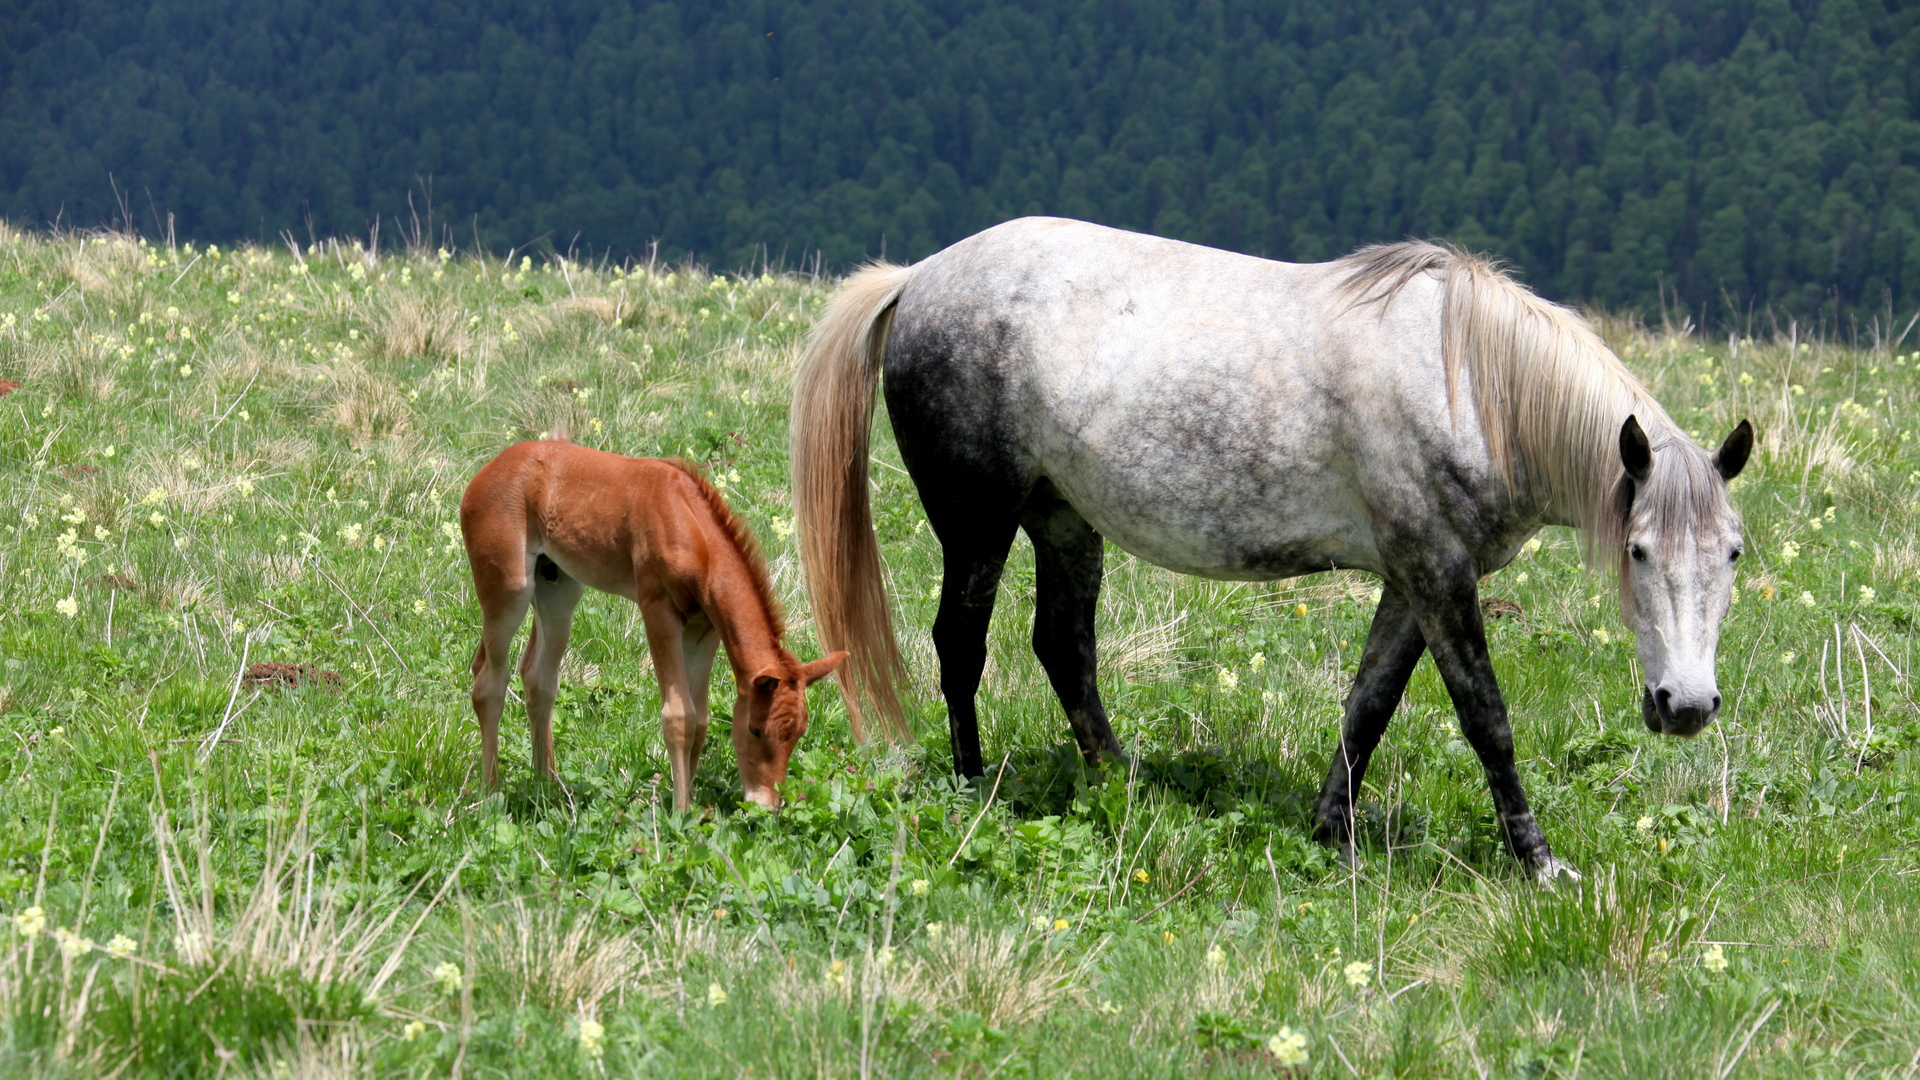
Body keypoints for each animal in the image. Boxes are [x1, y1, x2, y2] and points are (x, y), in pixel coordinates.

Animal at [460, 440, 844, 807]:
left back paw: (547, 787)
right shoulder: (657, 609)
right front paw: (679, 813)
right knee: (488, 681)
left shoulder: (704, 628)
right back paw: (490, 794)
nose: (765, 803)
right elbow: (679, 716)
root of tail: (485, 472)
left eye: (798, 733)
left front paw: (691, 807)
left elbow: (700, 719)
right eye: (754, 729)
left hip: (558, 589)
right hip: (509, 587)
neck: (689, 524)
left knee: (538, 677)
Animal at [787, 216, 1751, 876]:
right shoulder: (1439, 574)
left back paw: (1124, 783)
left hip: (1062, 519)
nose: (1686, 705)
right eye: (1636, 552)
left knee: (1063, 646)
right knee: (962, 644)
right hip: (978, 522)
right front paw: (1539, 862)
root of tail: (918, 278)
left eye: (1734, 553)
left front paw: (1334, 833)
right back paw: (973, 784)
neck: (1469, 382)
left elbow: (1368, 706)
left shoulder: (1413, 579)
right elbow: (1486, 718)